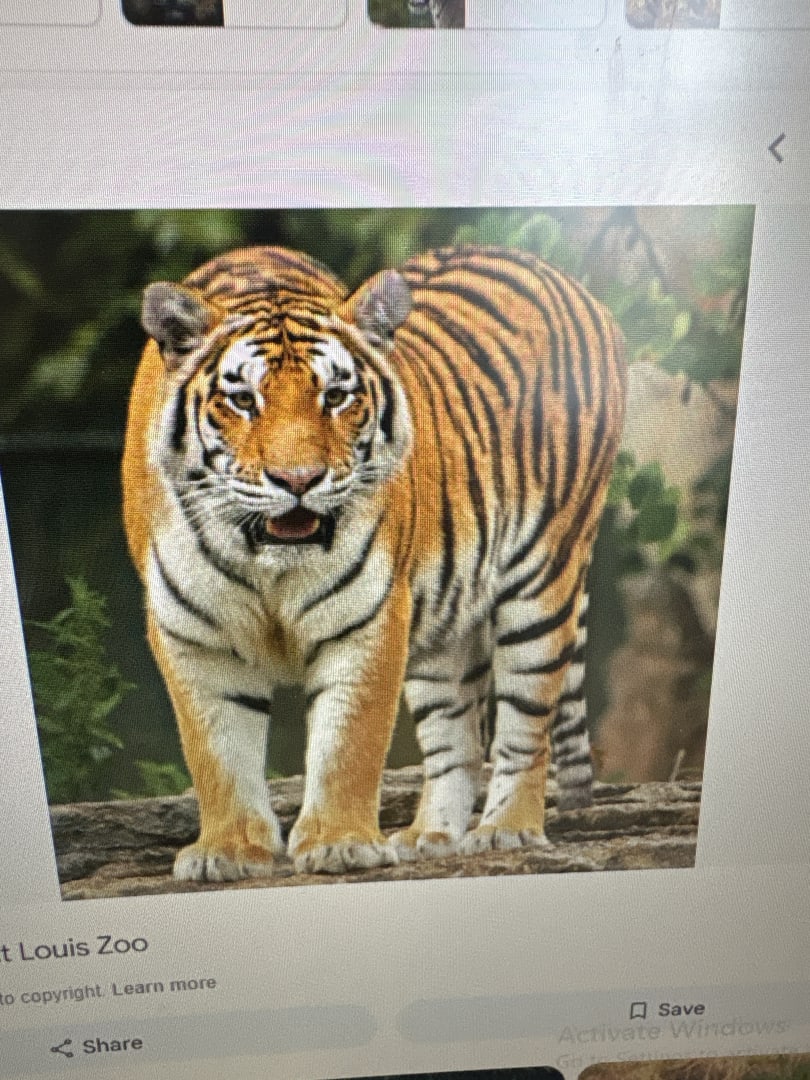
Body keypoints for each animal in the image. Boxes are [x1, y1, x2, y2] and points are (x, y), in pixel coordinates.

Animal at [122, 243, 626, 881]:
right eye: (243, 400)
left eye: (335, 396)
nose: (298, 481)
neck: (266, 559)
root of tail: (574, 285)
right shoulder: (192, 633)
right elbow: (217, 752)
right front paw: (230, 851)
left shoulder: (368, 617)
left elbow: (348, 744)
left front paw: (338, 844)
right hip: (443, 629)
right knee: (456, 738)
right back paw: (430, 836)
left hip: (542, 583)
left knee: (524, 726)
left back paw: (505, 831)